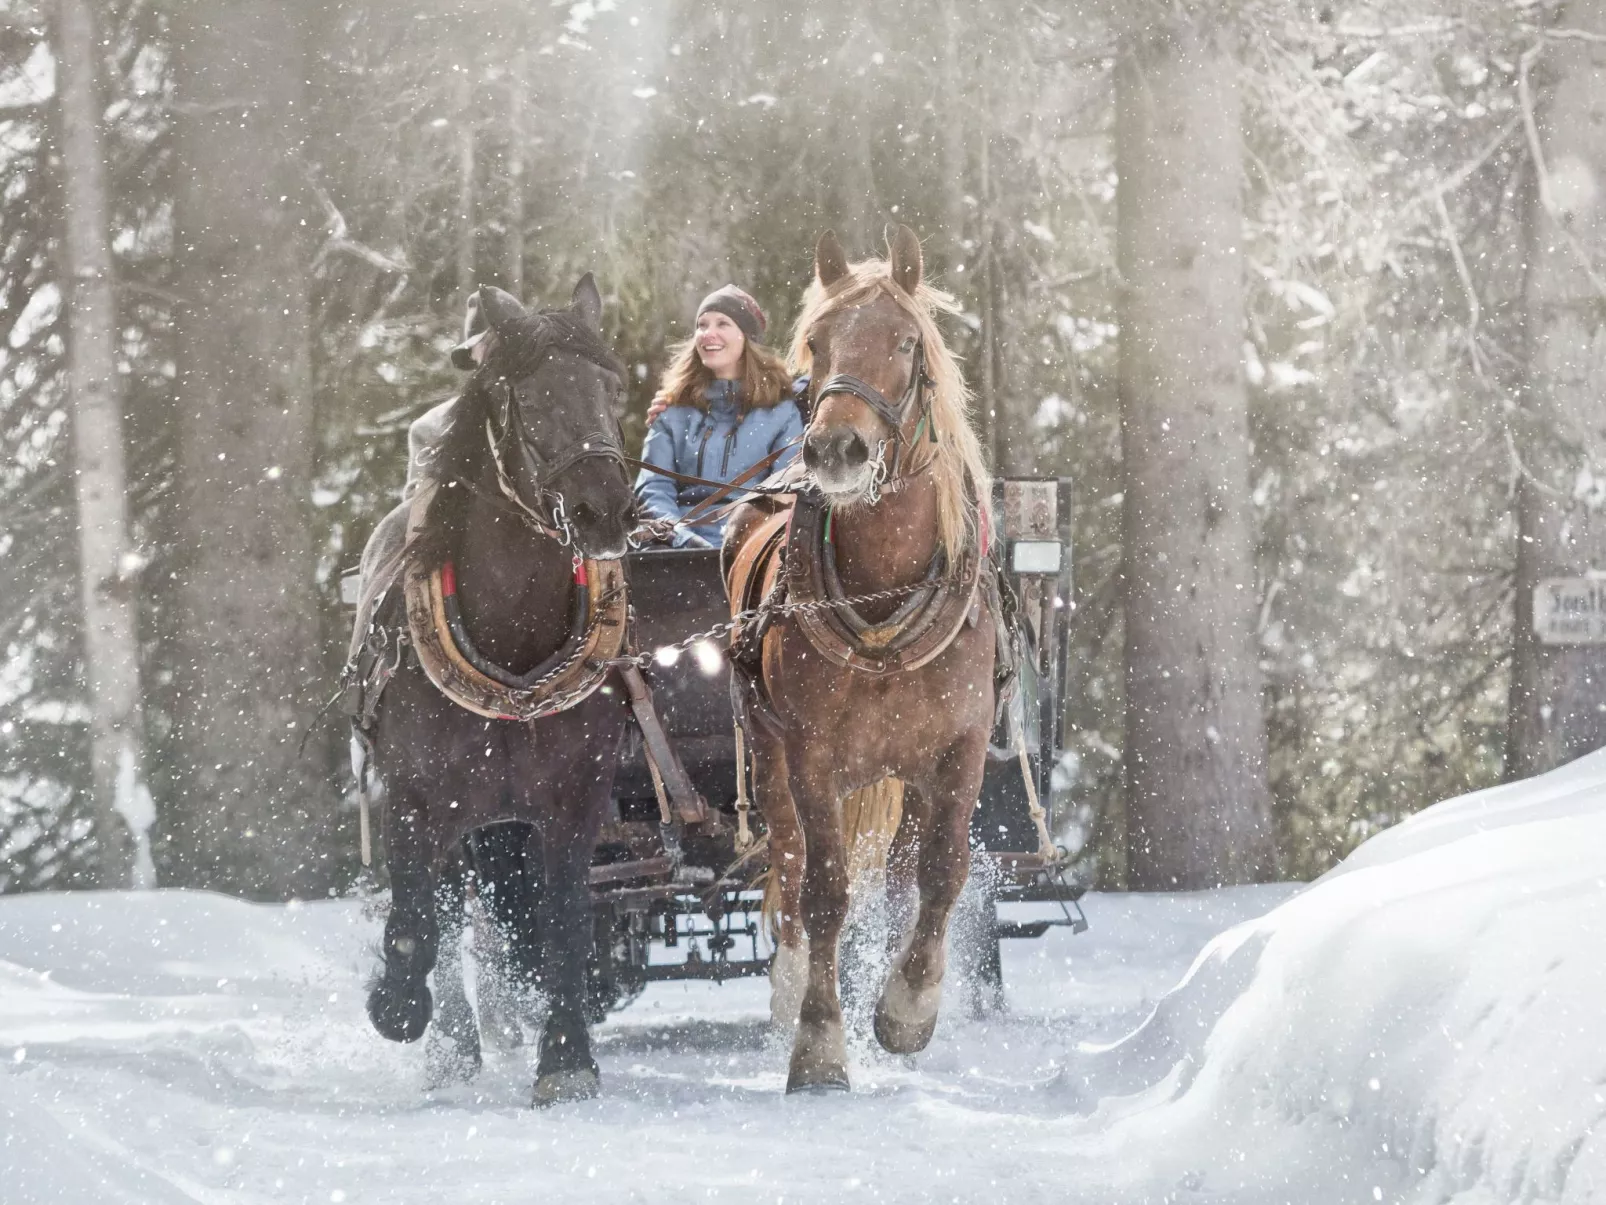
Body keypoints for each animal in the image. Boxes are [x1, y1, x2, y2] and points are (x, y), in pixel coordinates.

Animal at [361, 277, 635, 1111]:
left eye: (615, 389)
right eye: (532, 397)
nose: (606, 511)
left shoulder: (573, 801)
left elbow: (564, 919)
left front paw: (566, 1056)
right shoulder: (409, 796)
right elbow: (417, 918)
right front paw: (398, 1005)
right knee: (449, 912)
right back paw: (450, 1043)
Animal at [725, 226, 989, 1092]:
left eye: (907, 343)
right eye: (816, 342)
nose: (835, 448)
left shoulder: (961, 746)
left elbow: (942, 871)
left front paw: (906, 1008)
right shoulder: (812, 755)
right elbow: (824, 892)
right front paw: (819, 1042)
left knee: (905, 874)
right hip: (770, 756)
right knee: (788, 865)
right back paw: (790, 986)